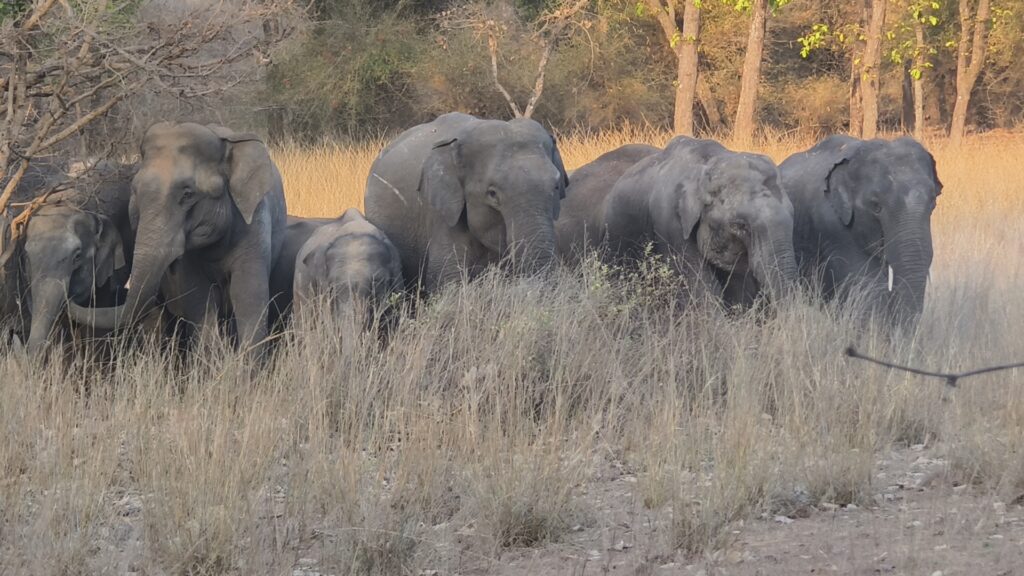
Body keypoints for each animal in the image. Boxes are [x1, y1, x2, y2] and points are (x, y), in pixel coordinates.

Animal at [67, 122, 287, 353]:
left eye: (187, 194)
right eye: (135, 192)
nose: (70, 296)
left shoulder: (254, 224)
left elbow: (248, 295)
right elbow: (198, 298)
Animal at [556, 137, 799, 305]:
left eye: (793, 216)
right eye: (740, 226)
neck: (711, 163)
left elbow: (738, 290)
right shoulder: (669, 221)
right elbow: (701, 290)